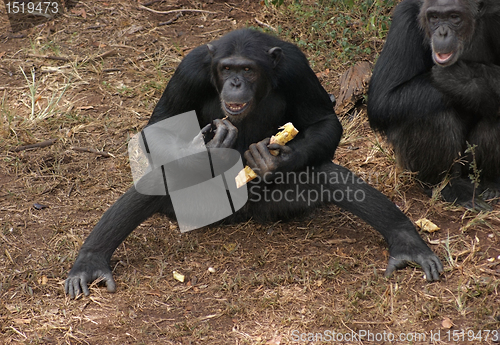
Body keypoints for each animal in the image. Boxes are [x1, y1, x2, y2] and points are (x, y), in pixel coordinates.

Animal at [64, 28, 444, 298]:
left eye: (246, 69)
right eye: (226, 69)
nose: (234, 81)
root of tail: (240, 212)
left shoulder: (296, 66)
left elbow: (324, 121)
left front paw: (274, 158)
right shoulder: (189, 69)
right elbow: (159, 125)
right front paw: (210, 150)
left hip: (278, 202)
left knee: (327, 175)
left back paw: (405, 241)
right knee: (162, 177)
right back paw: (90, 261)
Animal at [368, 0, 500, 210]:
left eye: (454, 17)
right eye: (434, 17)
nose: (442, 32)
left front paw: (460, 78)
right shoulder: (404, 20)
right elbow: (383, 98)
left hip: (470, 166)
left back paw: (491, 182)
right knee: (428, 114)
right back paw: (448, 187)